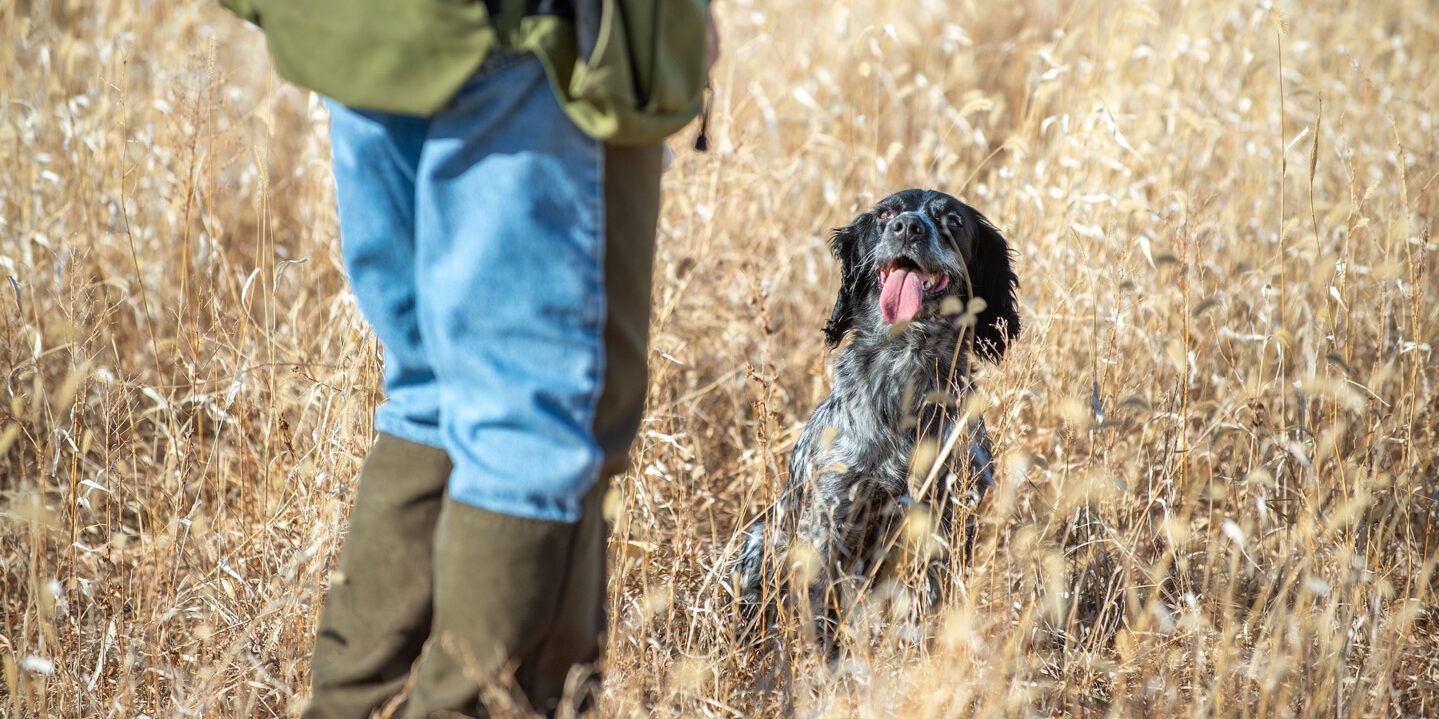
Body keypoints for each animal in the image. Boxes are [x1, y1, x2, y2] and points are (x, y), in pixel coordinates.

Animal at [731, 188, 1024, 644]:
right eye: (886, 214)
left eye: (954, 221)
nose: (908, 226)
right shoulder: (833, 519)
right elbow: (822, 612)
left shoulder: (951, 519)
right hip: (760, 539)